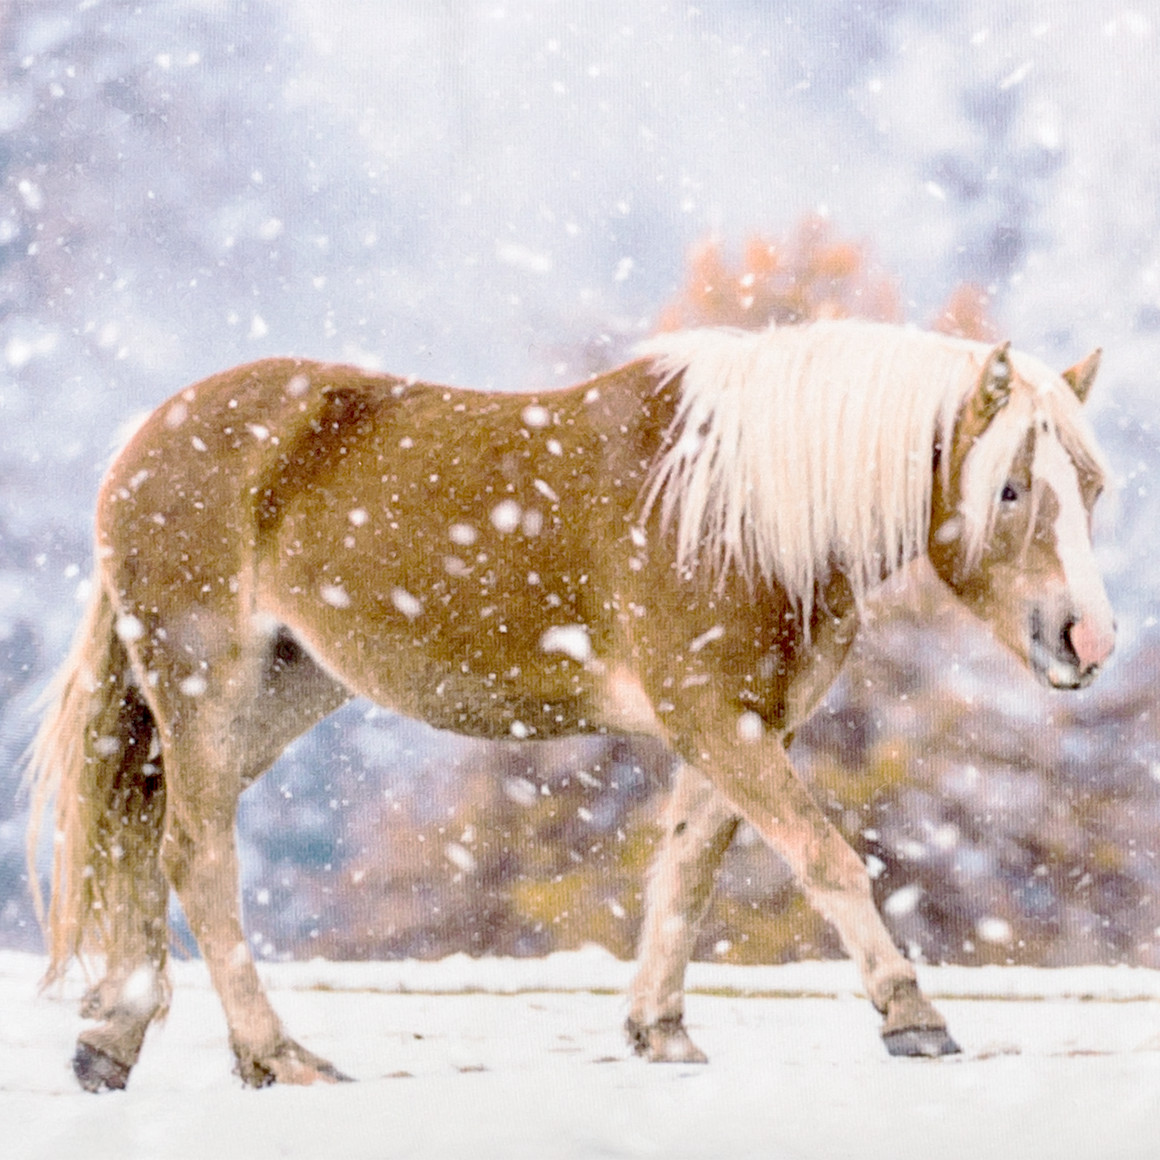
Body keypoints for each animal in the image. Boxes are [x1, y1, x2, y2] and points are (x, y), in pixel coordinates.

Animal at [26, 318, 1113, 1090]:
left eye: (1090, 486)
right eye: (1009, 489)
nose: (1087, 639)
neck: (736, 508)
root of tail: (146, 439)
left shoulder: (742, 727)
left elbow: (687, 866)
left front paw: (660, 1031)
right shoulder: (716, 720)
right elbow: (826, 858)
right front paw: (910, 1015)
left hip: (280, 689)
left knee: (149, 822)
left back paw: (113, 1034)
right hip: (204, 680)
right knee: (195, 852)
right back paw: (274, 1052)